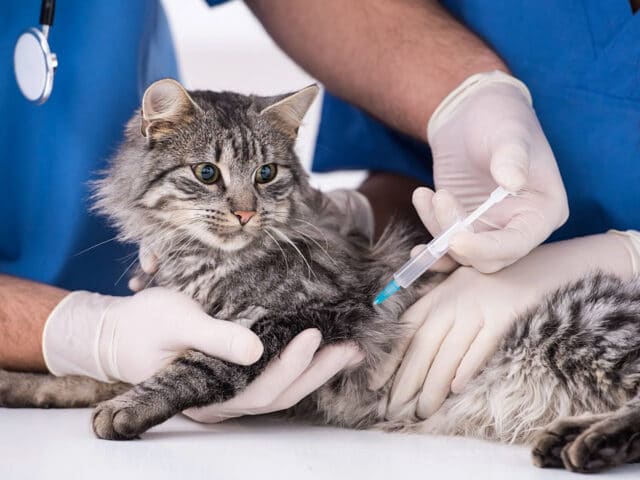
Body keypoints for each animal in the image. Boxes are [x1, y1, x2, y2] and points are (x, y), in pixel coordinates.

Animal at [1, 1, 640, 424]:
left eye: (265, 174)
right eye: (207, 174)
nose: (243, 214)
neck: (205, 266)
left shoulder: (313, 315)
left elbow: (201, 363)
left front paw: (129, 408)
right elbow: (95, 371)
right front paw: (31, 383)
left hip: (578, 332)